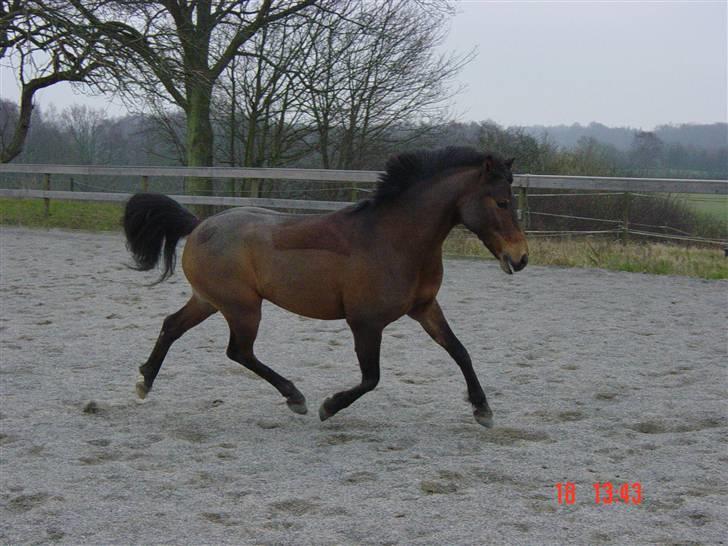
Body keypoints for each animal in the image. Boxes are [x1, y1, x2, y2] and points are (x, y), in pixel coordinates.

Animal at [122, 147, 528, 428]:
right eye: (501, 202)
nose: (521, 257)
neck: (395, 240)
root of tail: (198, 225)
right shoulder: (365, 322)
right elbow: (371, 378)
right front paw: (328, 406)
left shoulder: (425, 308)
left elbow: (460, 351)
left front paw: (483, 409)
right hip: (242, 307)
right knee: (239, 352)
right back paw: (296, 397)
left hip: (209, 300)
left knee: (173, 327)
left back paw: (144, 381)